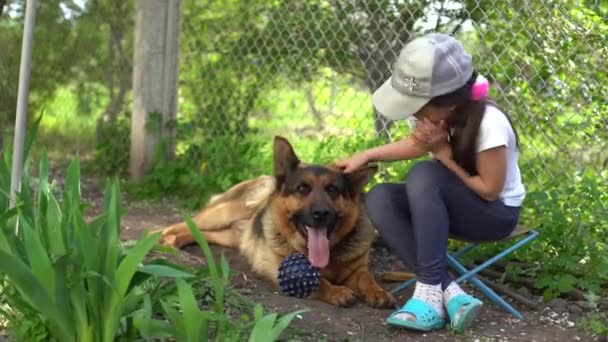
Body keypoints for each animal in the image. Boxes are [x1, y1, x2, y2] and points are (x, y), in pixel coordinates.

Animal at [154, 138, 396, 308]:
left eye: (333, 190)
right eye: (302, 188)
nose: (321, 213)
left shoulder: (358, 269)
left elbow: (367, 278)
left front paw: (379, 292)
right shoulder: (274, 266)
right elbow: (316, 281)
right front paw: (337, 291)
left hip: (228, 235)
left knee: (197, 233)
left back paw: (173, 242)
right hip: (222, 214)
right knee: (180, 224)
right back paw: (157, 238)